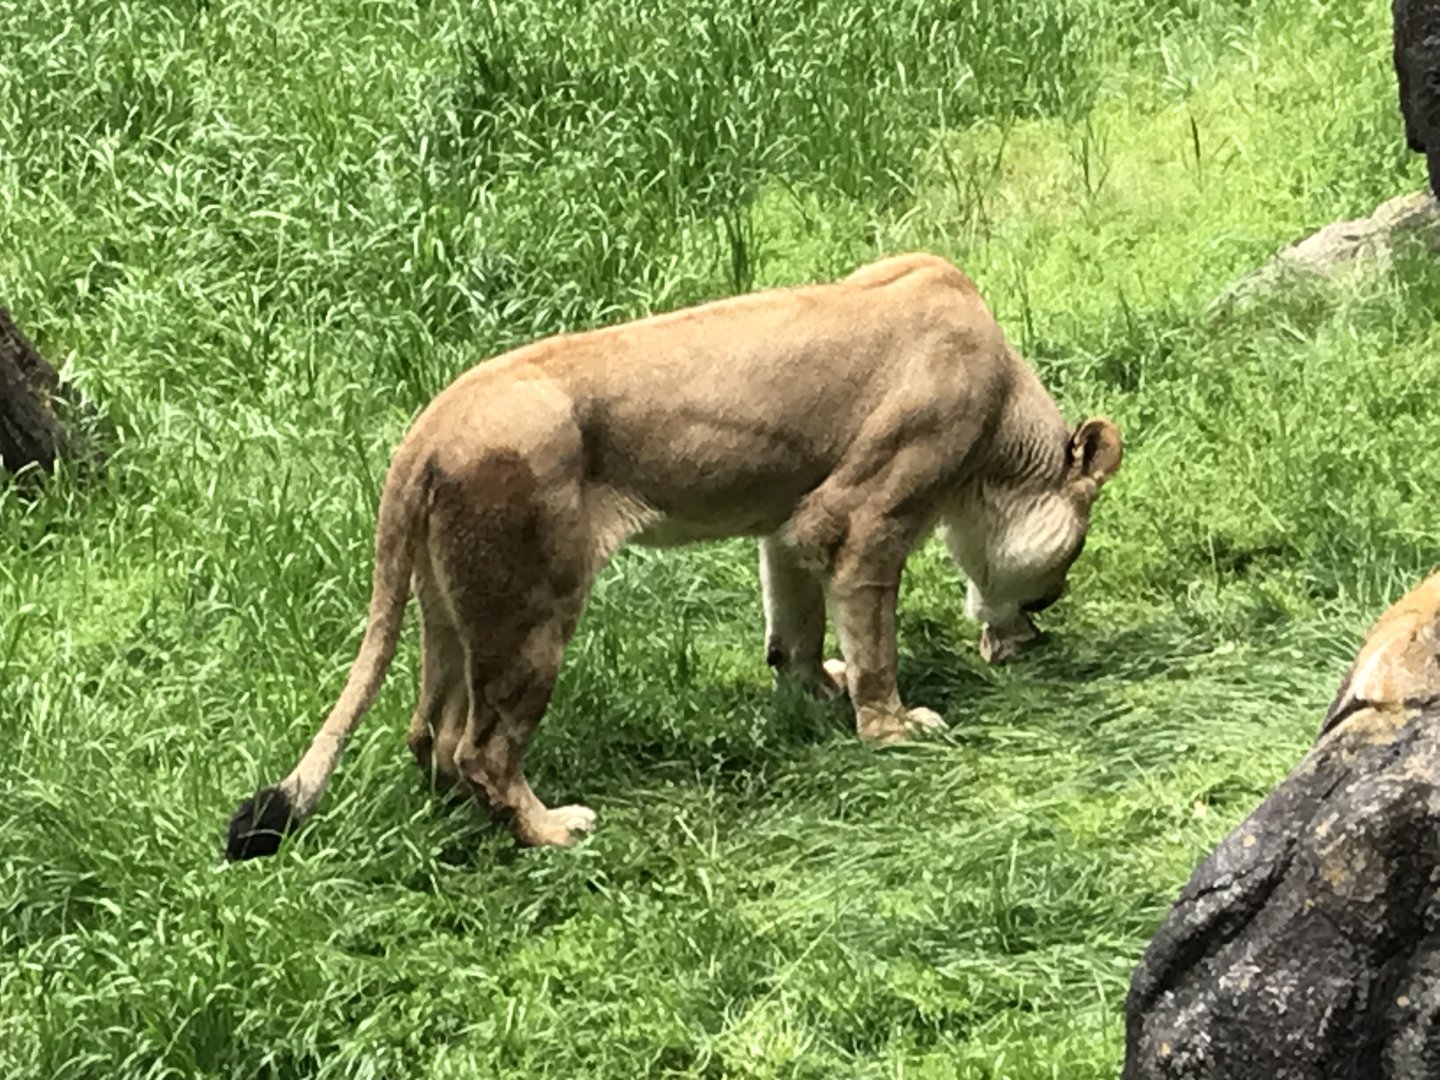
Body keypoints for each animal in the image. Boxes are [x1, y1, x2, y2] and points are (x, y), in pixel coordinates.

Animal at [224, 252, 1123, 860]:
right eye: (1055, 583)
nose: (1036, 634)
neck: (1001, 432)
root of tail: (429, 425)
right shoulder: (864, 512)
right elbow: (874, 641)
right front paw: (895, 730)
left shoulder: (793, 515)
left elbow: (794, 624)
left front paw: (814, 691)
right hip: (532, 601)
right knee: (481, 747)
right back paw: (553, 832)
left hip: (451, 604)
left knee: (430, 734)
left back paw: (466, 822)